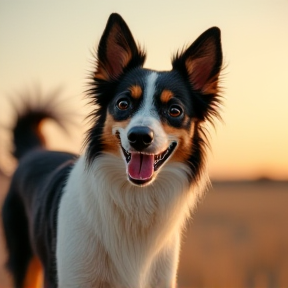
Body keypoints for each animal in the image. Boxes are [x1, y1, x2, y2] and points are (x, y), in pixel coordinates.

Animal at [1, 12, 223, 288]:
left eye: (174, 110)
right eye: (123, 103)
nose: (139, 137)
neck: (134, 200)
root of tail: (33, 152)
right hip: (24, 261)